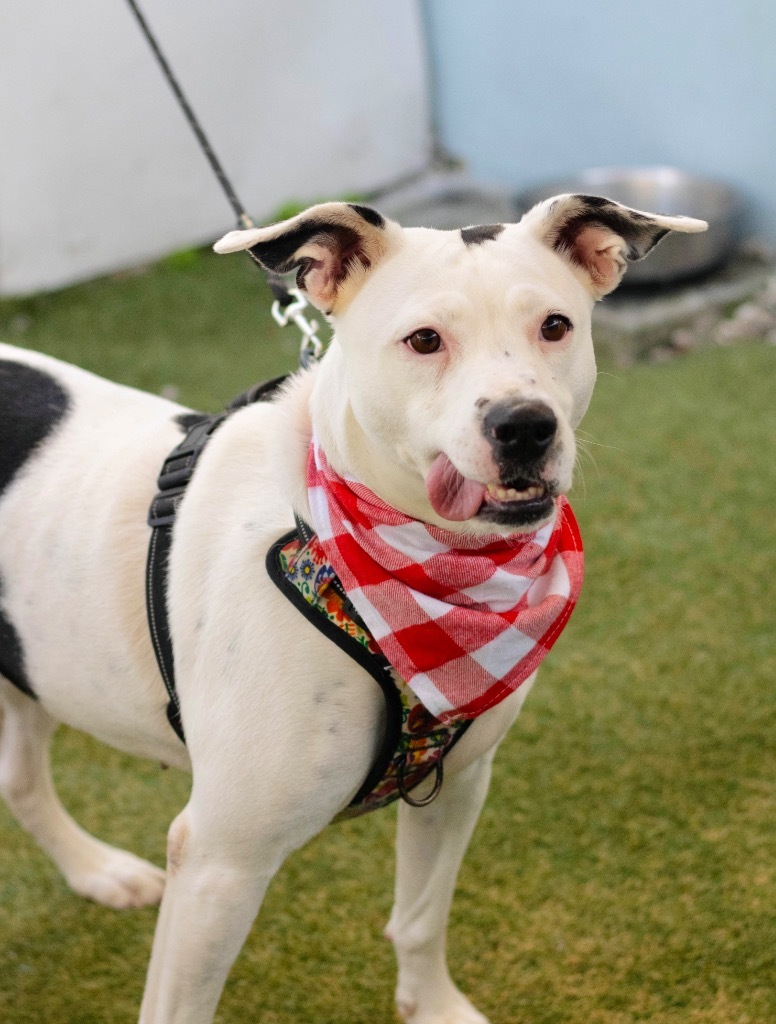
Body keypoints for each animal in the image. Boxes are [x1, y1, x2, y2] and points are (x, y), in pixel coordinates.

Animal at [0, 193, 704, 1024]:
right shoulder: (219, 862)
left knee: (19, 778)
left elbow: (420, 920)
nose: (525, 426)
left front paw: (432, 1006)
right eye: (424, 340)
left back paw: (97, 872)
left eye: (555, 325)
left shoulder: (459, 782)